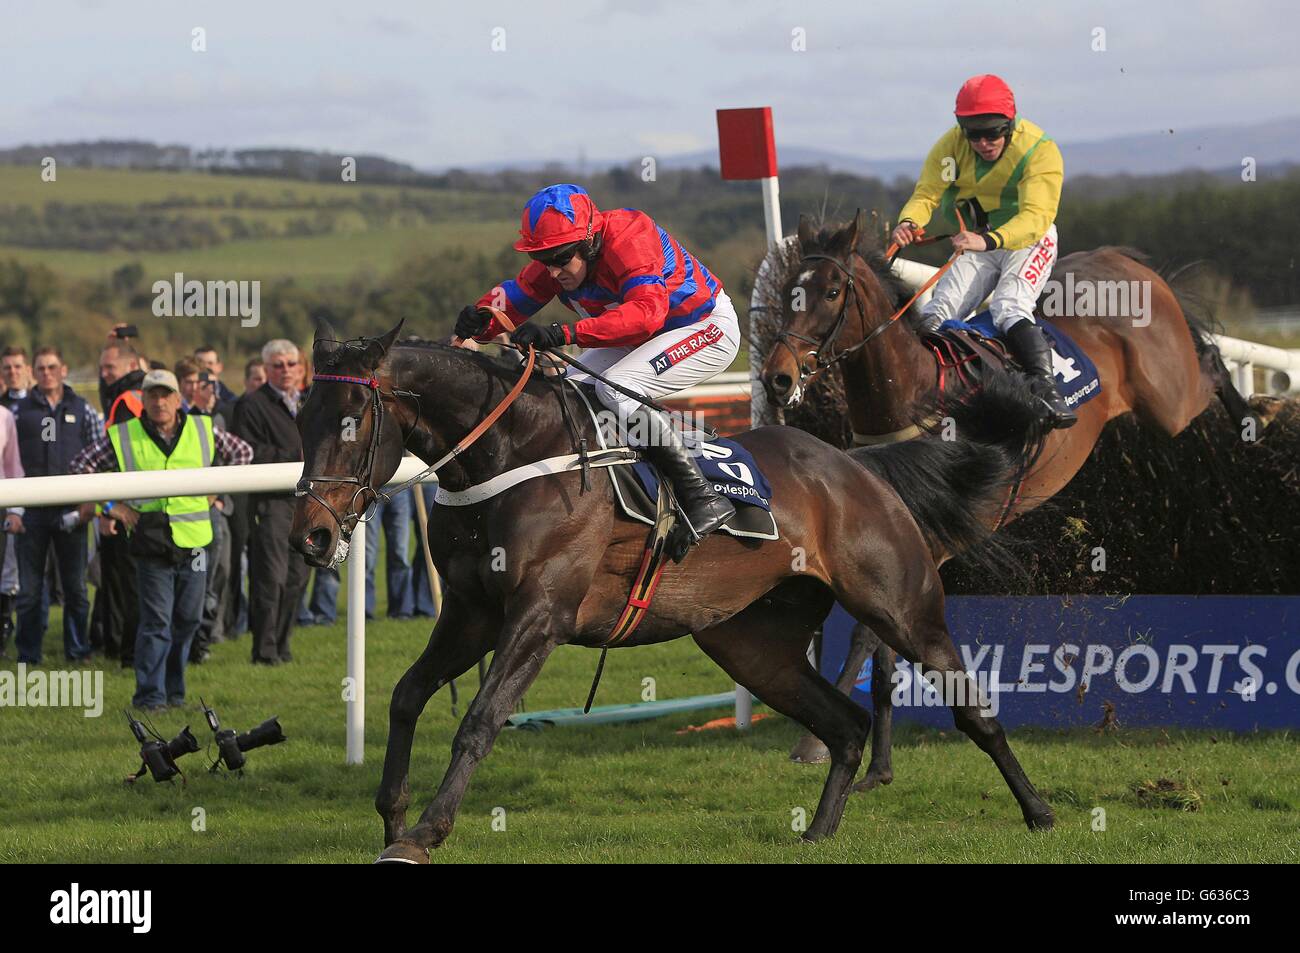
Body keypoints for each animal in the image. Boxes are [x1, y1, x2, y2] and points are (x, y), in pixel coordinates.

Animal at [289, 319, 1050, 863]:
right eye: (302, 418)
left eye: (352, 421)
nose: (312, 537)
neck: (512, 452)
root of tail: (859, 465)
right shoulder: (473, 613)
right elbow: (407, 695)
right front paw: (392, 812)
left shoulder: (540, 614)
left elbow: (480, 719)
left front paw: (425, 832)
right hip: (751, 644)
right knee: (845, 724)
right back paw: (818, 832)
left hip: (900, 605)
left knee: (971, 709)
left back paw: (1039, 811)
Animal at [759, 213, 1253, 780]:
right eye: (790, 291)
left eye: (831, 291)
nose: (777, 379)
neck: (915, 398)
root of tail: (1120, 260)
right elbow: (884, 653)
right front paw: (878, 765)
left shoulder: (932, 540)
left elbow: (872, 635)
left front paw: (814, 744)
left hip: (1168, 401)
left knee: (1210, 361)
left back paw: (1251, 418)